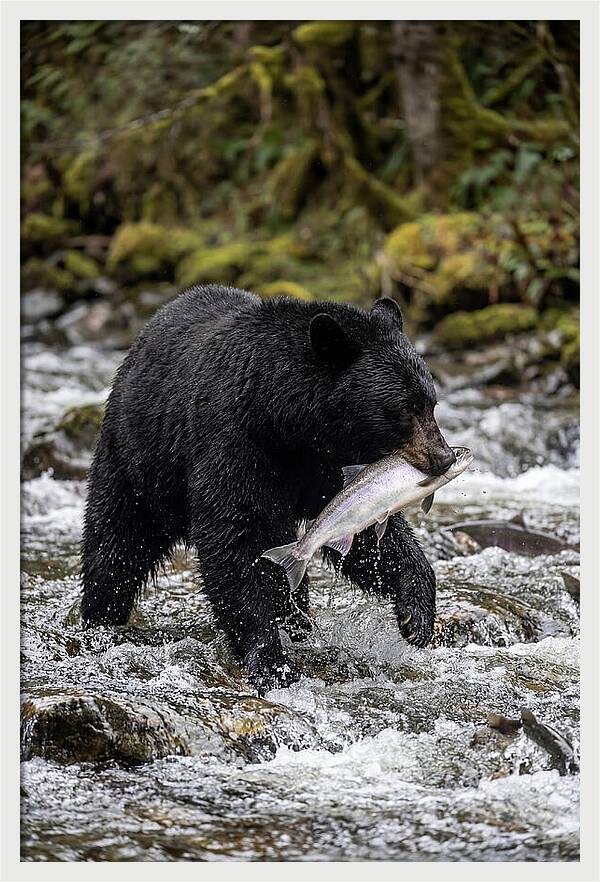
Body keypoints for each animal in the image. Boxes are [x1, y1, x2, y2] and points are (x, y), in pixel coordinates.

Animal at [81, 285, 455, 693]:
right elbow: (232, 539)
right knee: (116, 543)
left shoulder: (330, 466)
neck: (287, 422)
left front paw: (416, 615)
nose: (444, 457)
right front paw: (271, 661)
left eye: (431, 403)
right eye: (404, 408)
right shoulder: (235, 443)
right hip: (138, 461)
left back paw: (298, 622)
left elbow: (365, 531)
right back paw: (100, 619)